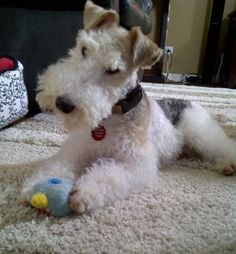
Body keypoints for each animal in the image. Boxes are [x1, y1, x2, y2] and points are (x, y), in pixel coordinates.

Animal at [21, 0, 235, 213]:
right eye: (83, 49)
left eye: (113, 70)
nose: (62, 103)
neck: (111, 118)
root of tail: (187, 101)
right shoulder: (76, 151)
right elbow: (58, 165)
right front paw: (35, 186)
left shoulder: (136, 163)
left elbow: (108, 174)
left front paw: (85, 193)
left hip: (200, 132)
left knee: (224, 147)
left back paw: (227, 165)